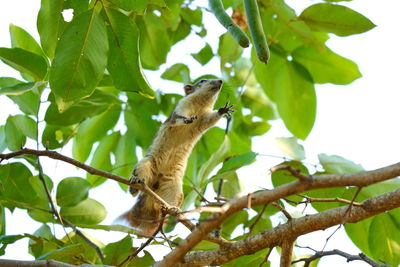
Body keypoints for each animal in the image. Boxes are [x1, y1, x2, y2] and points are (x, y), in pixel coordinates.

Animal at [122, 78, 234, 236]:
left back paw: (173, 209)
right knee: (139, 177)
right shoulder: (181, 107)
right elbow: (178, 119)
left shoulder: (204, 120)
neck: (200, 105)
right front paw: (187, 119)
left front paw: (223, 110)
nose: (220, 81)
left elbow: (210, 120)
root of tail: (153, 188)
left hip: (173, 185)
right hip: (147, 163)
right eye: (202, 80)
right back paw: (135, 183)